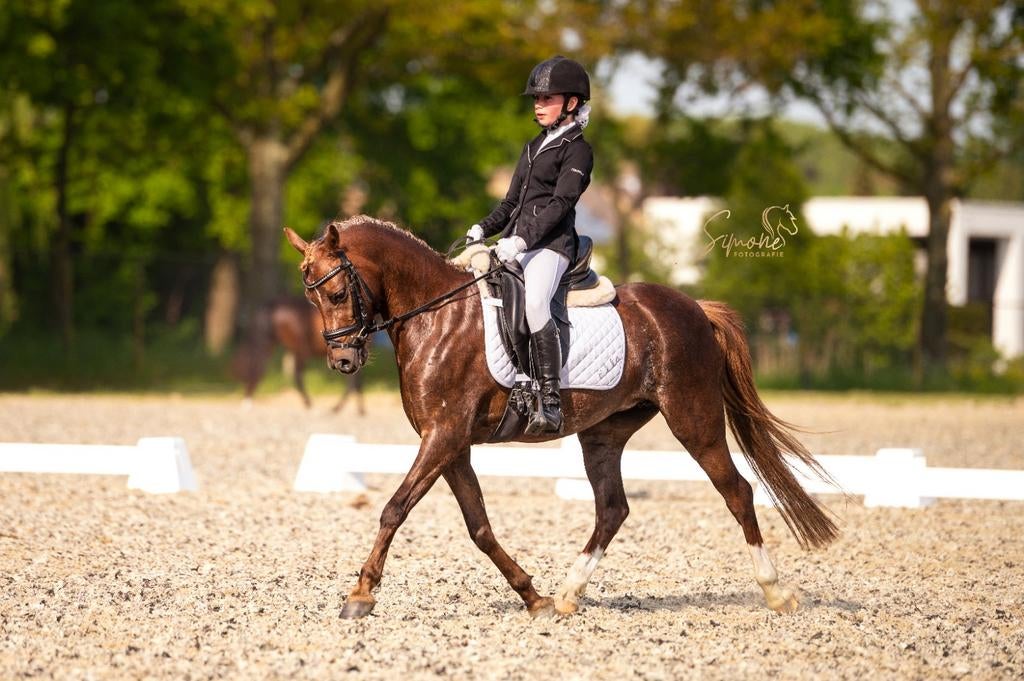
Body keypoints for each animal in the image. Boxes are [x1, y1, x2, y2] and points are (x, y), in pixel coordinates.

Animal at [232, 297, 366, 414]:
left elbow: (355, 381)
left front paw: (358, 410)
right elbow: (354, 381)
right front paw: (345, 409)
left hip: (271, 345)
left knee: (259, 369)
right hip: (299, 350)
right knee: (294, 375)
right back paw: (310, 405)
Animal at [283, 215, 837, 619]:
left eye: (337, 293)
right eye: (310, 295)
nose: (343, 363)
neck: (434, 316)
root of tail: (696, 309)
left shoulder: (442, 436)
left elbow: (394, 509)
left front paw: (360, 595)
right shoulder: (451, 443)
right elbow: (479, 527)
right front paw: (534, 597)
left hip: (693, 419)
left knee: (737, 491)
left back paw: (777, 594)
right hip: (604, 433)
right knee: (612, 508)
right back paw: (569, 594)